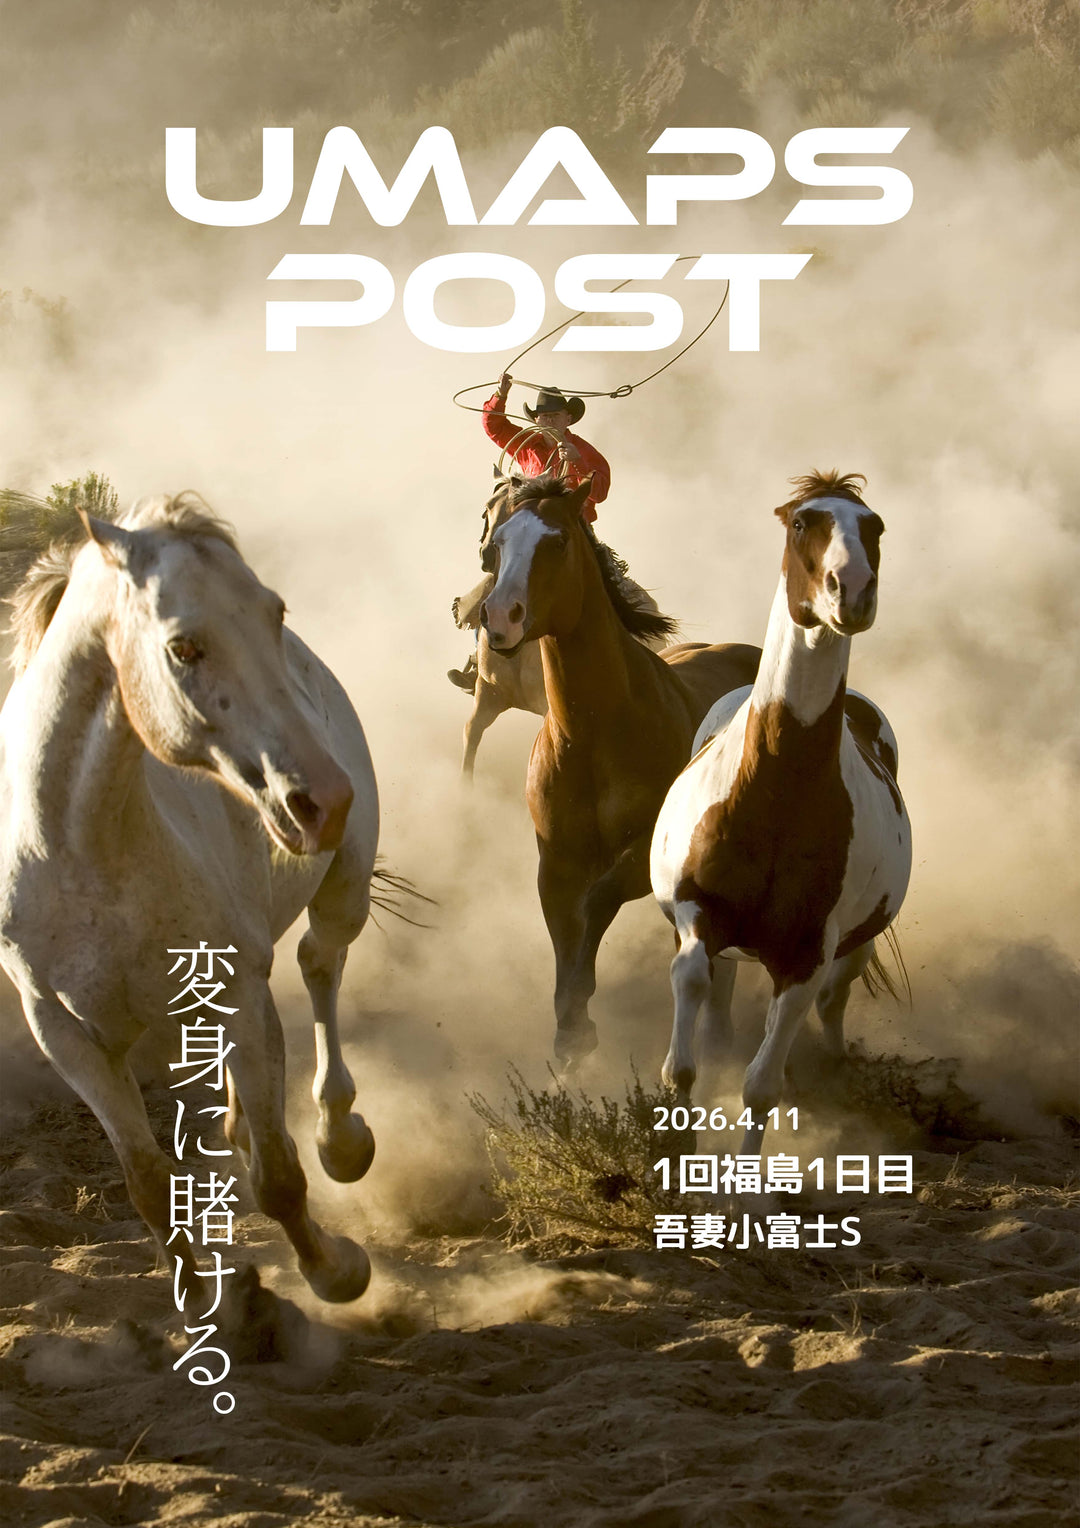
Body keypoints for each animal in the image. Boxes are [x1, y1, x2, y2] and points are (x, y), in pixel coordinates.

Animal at [0, 494, 379, 1324]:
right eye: (184, 647)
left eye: (273, 612)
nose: (322, 800)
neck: (82, 854)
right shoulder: (67, 1036)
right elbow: (145, 1181)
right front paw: (200, 1298)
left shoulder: (230, 987)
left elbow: (279, 1177)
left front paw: (337, 1273)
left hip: (344, 889)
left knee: (320, 966)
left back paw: (341, 1137)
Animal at [478, 474, 761, 1067]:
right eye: (498, 543)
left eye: (558, 541)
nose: (499, 617)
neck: (594, 736)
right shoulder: (556, 864)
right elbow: (566, 933)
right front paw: (570, 1030)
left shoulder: (640, 863)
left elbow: (597, 905)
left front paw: (579, 1021)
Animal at [650, 472, 912, 1155]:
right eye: (801, 523)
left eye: (875, 526)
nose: (853, 592)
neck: (776, 791)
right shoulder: (697, 914)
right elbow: (685, 1035)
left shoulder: (804, 956)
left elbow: (762, 1085)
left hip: (851, 948)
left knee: (830, 1005)